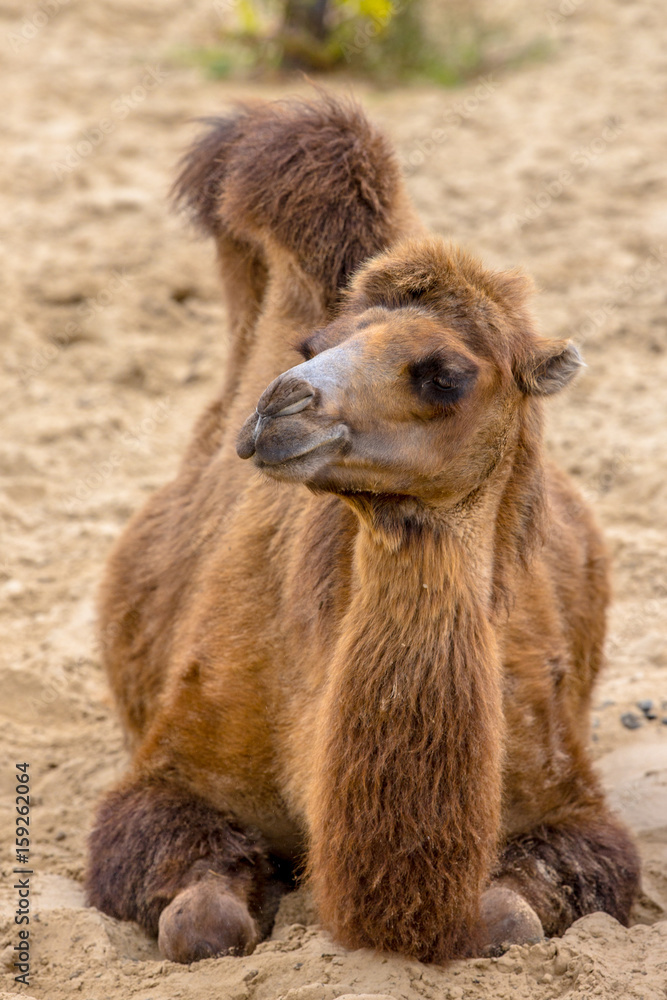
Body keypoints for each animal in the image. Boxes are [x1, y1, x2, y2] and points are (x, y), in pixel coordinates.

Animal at [86, 95, 640, 965]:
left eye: (444, 374)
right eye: (314, 344)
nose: (277, 407)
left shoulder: (567, 796)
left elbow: (508, 918)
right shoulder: (173, 769)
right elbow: (199, 923)